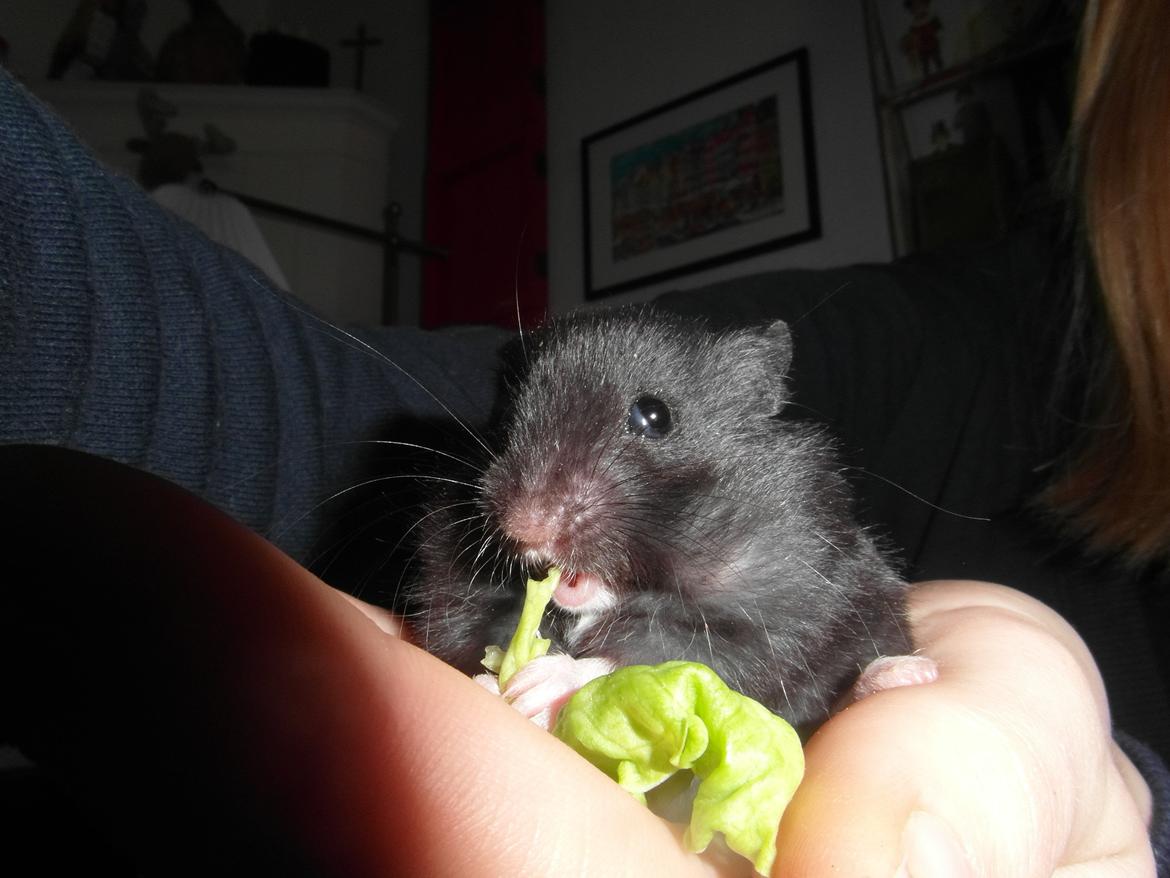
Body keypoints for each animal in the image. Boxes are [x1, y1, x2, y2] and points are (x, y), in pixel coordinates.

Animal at [404, 306, 914, 733]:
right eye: (507, 416)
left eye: (654, 416)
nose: (524, 526)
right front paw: (493, 683)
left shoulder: (789, 610)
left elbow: (667, 656)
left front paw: (536, 685)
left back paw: (899, 674)